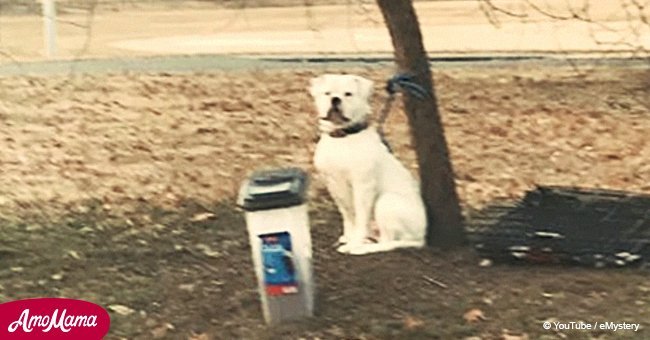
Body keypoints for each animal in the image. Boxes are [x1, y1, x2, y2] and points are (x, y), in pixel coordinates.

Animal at [308, 74, 426, 255]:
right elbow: (348, 215)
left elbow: (360, 217)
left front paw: (354, 243)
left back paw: (362, 248)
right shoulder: (334, 184)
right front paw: (349, 237)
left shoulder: (363, 186)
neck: (343, 137)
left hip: (387, 202)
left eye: (348, 94)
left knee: (387, 242)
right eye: (327, 93)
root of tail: (422, 237)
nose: (335, 99)